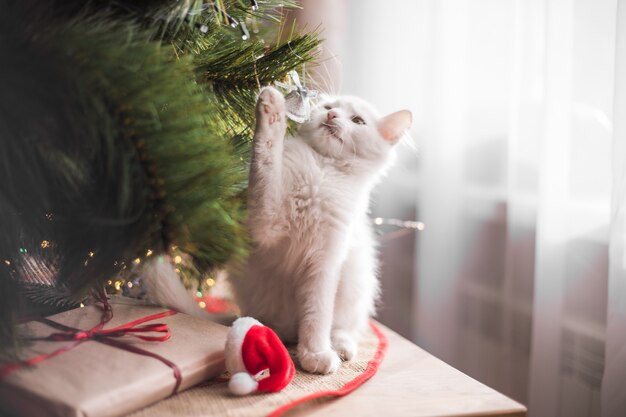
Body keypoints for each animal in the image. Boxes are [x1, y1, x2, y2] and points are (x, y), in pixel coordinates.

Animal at [229, 86, 410, 372]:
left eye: (357, 121)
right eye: (328, 108)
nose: (332, 115)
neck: (322, 171)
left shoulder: (324, 264)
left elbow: (318, 315)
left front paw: (314, 355)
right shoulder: (264, 223)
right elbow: (266, 158)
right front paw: (271, 110)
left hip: (356, 283)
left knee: (344, 328)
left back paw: (341, 348)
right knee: (283, 326)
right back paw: (278, 332)